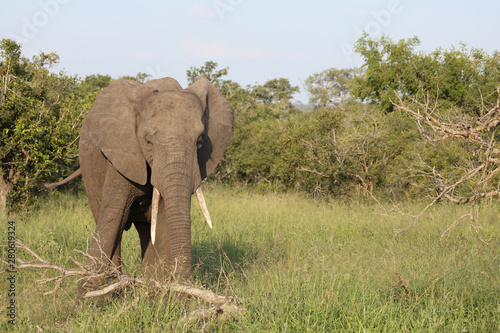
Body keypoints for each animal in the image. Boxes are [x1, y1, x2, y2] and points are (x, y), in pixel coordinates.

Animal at [71, 76, 233, 294]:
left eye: (200, 141)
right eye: (148, 141)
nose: (185, 291)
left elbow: (163, 224)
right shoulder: (121, 154)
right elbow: (111, 218)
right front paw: (88, 296)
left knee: (147, 232)